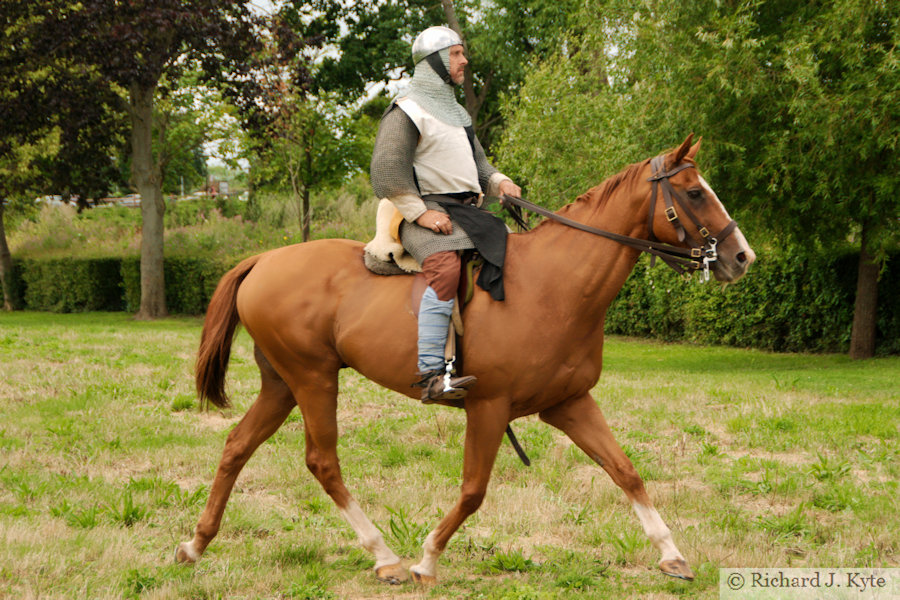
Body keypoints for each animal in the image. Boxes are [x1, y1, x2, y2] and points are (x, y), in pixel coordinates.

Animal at [174, 134, 752, 584]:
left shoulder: (569, 403)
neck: (554, 285)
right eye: (695, 192)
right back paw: (385, 556)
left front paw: (671, 554)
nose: (741, 256)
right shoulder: (490, 408)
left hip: (282, 384)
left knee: (236, 446)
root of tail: (262, 259)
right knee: (322, 461)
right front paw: (427, 560)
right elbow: (474, 491)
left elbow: (626, 471)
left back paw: (196, 545)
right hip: (313, 379)